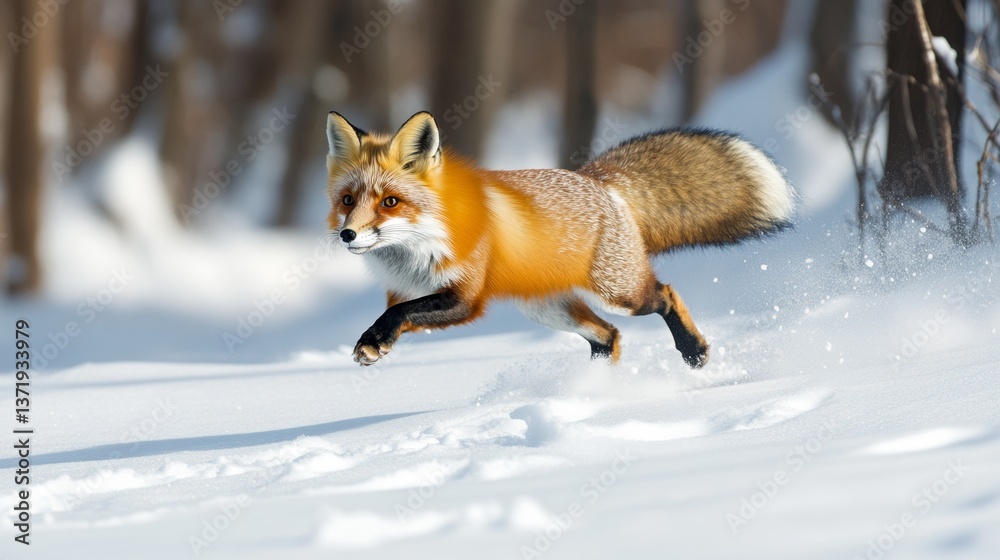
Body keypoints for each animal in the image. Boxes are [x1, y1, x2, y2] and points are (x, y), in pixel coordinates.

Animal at [326, 111, 794, 368]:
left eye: (390, 202)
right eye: (348, 200)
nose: (348, 234)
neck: (417, 250)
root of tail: (598, 178)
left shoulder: (465, 298)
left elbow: (401, 314)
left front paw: (372, 342)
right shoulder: (405, 291)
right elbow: (398, 312)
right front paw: (377, 342)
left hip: (619, 293)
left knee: (665, 294)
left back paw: (693, 351)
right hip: (547, 309)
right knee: (608, 336)